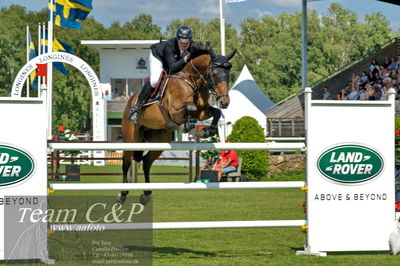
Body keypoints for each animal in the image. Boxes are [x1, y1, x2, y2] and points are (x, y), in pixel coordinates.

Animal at [119, 47, 238, 204]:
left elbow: (215, 112)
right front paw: (188, 125)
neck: (192, 81)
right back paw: (122, 194)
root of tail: (129, 101)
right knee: (126, 162)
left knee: (146, 162)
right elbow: (190, 107)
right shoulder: (174, 110)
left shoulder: (203, 111)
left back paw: (146, 193)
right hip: (131, 139)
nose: (225, 102)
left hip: (159, 141)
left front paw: (207, 131)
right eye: (214, 73)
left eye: (228, 73)